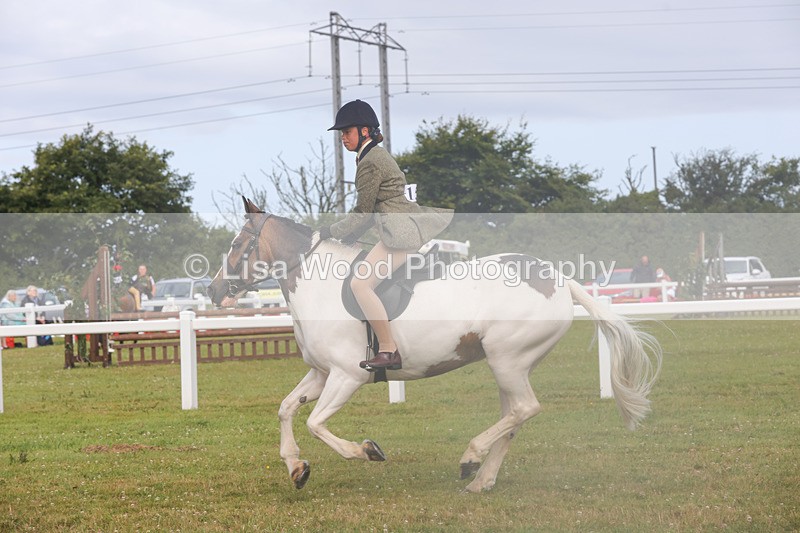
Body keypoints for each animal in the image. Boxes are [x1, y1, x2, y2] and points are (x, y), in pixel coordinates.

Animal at [207, 198, 662, 493]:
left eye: (237, 244)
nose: (213, 291)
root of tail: (559, 279)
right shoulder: (321, 373)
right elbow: (286, 409)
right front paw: (296, 467)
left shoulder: (346, 376)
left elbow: (317, 423)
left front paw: (366, 451)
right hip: (510, 366)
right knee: (514, 416)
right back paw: (481, 479)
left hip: (508, 360)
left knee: (525, 409)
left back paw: (470, 458)